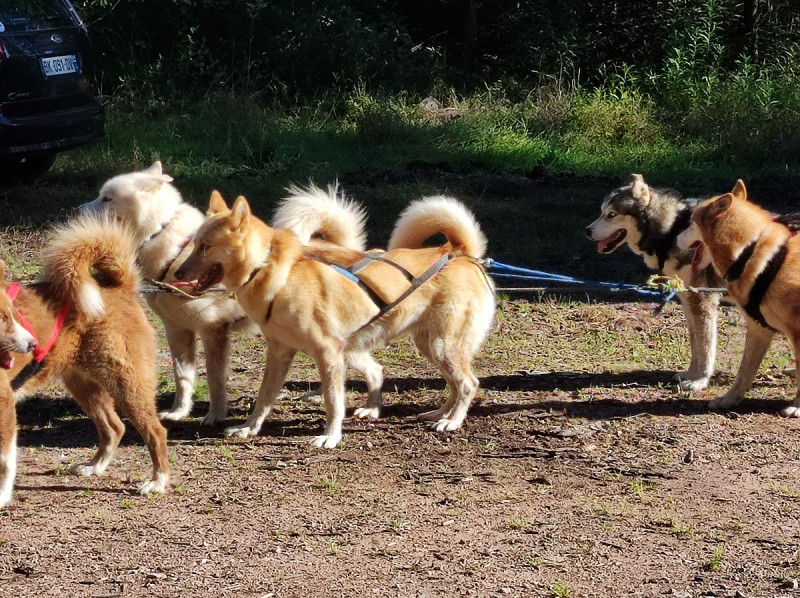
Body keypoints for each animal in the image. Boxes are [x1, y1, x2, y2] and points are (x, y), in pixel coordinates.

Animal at [0, 216, 169, 506]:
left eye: (11, 315)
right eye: (4, 318)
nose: (33, 344)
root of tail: (119, 286)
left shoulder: (5, 404)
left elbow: (5, 462)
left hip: (127, 384)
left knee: (156, 433)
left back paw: (158, 482)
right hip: (85, 386)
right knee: (114, 428)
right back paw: (95, 467)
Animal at [175, 195, 494, 448]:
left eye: (205, 246)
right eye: (194, 243)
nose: (177, 272)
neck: (273, 272)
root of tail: (458, 252)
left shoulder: (328, 353)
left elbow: (333, 401)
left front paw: (330, 437)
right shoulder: (280, 352)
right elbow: (265, 395)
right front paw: (249, 428)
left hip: (441, 345)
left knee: (469, 383)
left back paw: (452, 421)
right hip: (427, 345)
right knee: (452, 384)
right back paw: (440, 414)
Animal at [680, 183, 800, 418]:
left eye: (690, 223)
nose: (675, 239)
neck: (749, 253)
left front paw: (797, 406)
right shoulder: (759, 329)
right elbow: (744, 373)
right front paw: (728, 400)